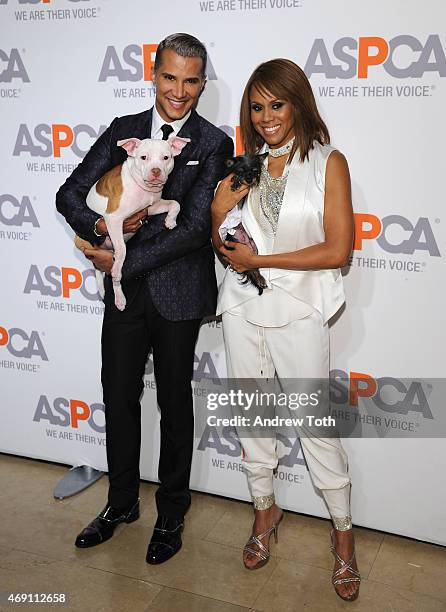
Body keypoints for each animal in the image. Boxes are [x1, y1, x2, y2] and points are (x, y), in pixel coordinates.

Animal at [74, 132, 188, 308]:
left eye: (165, 157)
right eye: (143, 157)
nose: (156, 171)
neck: (141, 186)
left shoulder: (151, 207)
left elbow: (175, 203)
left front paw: (170, 220)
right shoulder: (113, 219)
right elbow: (122, 250)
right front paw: (117, 267)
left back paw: (119, 297)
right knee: (104, 270)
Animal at [223, 154, 268, 296]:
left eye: (255, 170)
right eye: (240, 170)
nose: (249, 179)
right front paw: (236, 181)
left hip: (253, 250)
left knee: (253, 268)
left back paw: (260, 279)